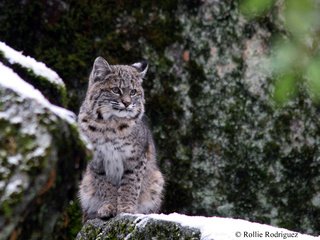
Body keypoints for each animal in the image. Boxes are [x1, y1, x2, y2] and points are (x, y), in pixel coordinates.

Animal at [77, 56, 162, 221]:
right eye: (116, 90)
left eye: (133, 92)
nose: (127, 103)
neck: (110, 124)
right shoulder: (98, 160)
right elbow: (104, 184)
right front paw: (108, 207)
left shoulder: (135, 158)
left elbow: (131, 184)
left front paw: (126, 209)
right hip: (84, 185)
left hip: (157, 179)